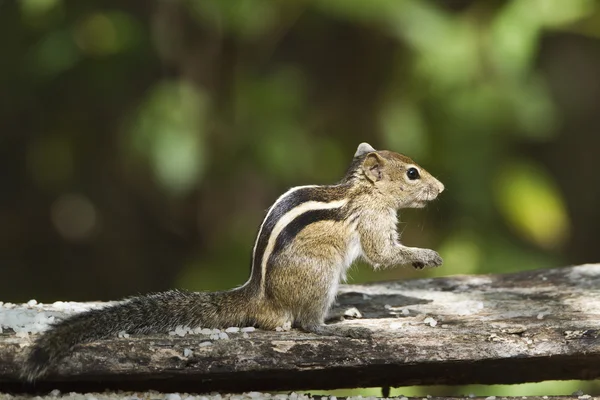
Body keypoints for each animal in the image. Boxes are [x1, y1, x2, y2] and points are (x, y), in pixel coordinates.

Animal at [21, 142, 442, 380]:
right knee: (305, 324)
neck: (362, 192)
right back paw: (337, 329)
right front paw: (427, 254)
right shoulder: (372, 221)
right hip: (320, 274)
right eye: (411, 173)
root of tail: (259, 298)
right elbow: (382, 253)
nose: (440, 188)